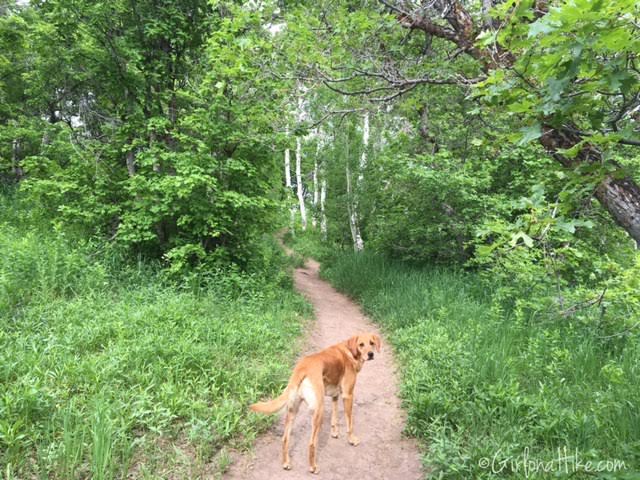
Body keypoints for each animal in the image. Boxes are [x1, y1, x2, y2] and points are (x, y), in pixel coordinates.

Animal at [249, 332, 380, 474]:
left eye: (372, 343)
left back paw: (286, 463)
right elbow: (349, 423)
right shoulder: (348, 396)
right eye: (361, 344)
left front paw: (335, 432)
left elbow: (334, 418)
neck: (350, 352)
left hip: (293, 411)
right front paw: (352, 440)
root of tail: (302, 368)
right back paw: (313, 467)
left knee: (285, 439)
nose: (371, 354)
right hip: (319, 411)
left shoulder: (335, 395)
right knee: (311, 443)